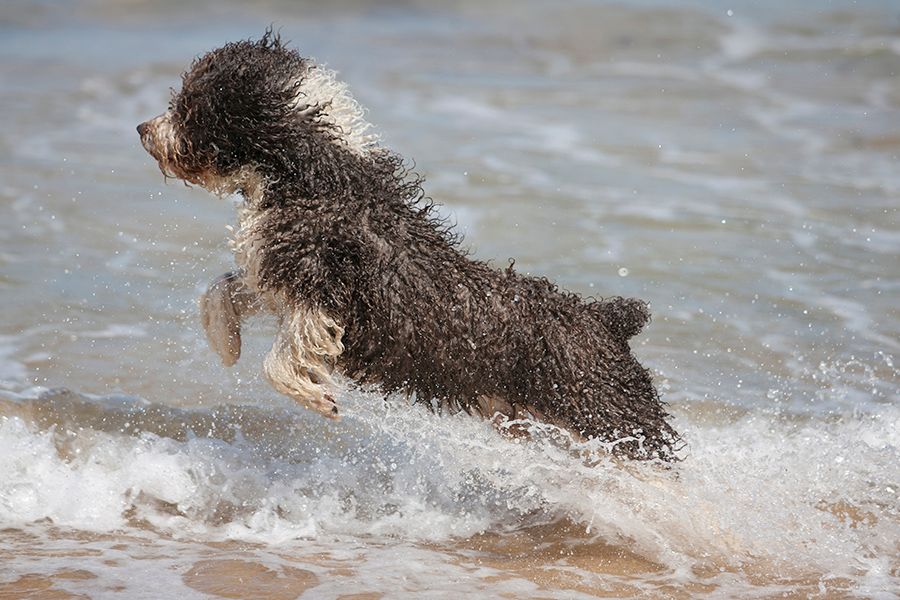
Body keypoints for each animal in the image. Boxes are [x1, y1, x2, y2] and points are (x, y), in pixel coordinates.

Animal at [137, 30, 680, 460]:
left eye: (190, 103)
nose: (142, 129)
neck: (310, 174)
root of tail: (610, 320)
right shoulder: (279, 278)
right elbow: (222, 289)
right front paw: (225, 344)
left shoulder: (323, 293)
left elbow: (278, 364)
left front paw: (319, 398)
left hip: (616, 422)